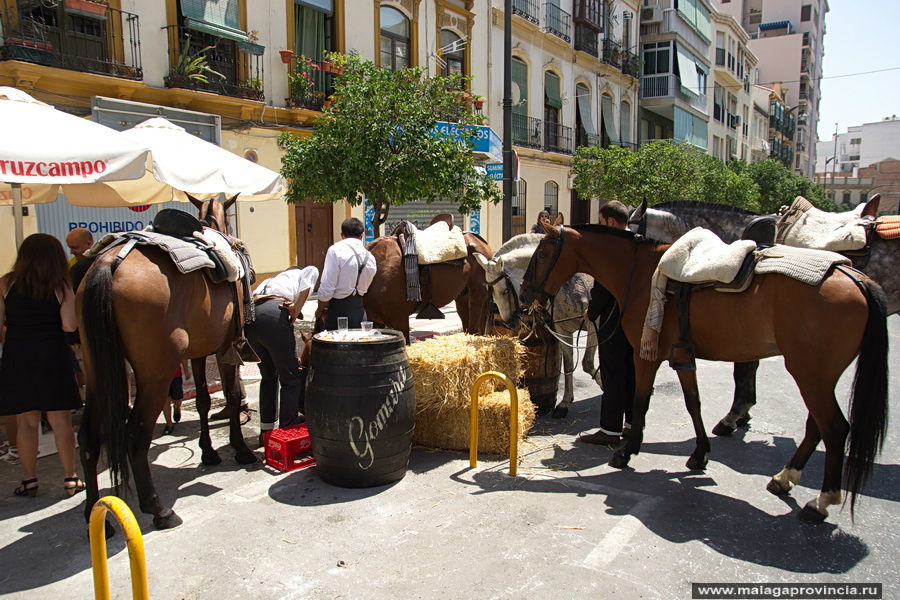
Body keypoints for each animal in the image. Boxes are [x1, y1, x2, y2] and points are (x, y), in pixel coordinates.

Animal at [75, 198, 255, 528]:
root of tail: (108, 264)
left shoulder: (199, 352)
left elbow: (202, 400)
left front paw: (208, 452)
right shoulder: (226, 347)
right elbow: (233, 395)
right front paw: (240, 448)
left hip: (95, 372)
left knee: (88, 437)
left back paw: (96, 515)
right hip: (155, 374)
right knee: (135, 435)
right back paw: (158, 509)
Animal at [472, 234, 604, 418]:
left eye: (505, 291)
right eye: (490, 292)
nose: (508, 322)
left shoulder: (593, 325)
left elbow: (588, 363)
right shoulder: (562, 330)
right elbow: (569, 364)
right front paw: (565, 403)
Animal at [520, 223, 884, 524]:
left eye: (543, 253)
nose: (524, 292)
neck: (640, 273)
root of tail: (855, 277)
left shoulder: (646, 355)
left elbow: (640, 401)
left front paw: (626, 450)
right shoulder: (682, 356)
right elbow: (693, 403)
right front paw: (699, 454)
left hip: (810, 375)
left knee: (834, 428)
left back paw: (820, 502)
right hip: (817, 377)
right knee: (816, 426)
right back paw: (785, 478)